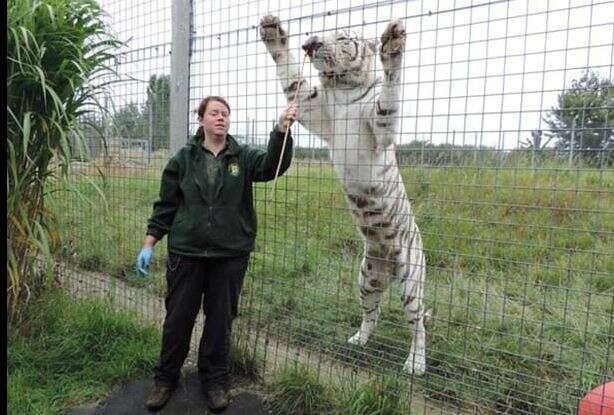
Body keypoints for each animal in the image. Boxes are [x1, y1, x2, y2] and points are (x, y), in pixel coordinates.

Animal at [260, 16, 428, 376]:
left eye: (341, 37)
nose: (311, 42)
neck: (343, 89)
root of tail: (388, 264)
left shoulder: (379, 128)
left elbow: (389, 97)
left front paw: (393, 45)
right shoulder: (311, 104)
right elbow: (290, 72)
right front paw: (271, 31)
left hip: (411, 280)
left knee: (419, 323)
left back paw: (415, 364)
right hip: (367, 278)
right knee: (372, 312)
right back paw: (358, 340)